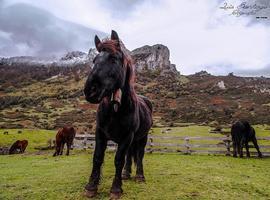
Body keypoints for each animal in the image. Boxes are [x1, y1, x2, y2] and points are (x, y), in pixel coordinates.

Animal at [83, 29, 153, 198]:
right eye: (94, 60)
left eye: (114, 58)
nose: (90, 90)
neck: (115, 109)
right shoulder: (100, 133)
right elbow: (97, 158)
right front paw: (91, 187)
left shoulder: (127, 136)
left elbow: (118, 160)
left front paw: (116, 189)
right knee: (130, 155)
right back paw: (126, 174)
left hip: (142, 137)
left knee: (139, 155)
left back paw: (139, 176)